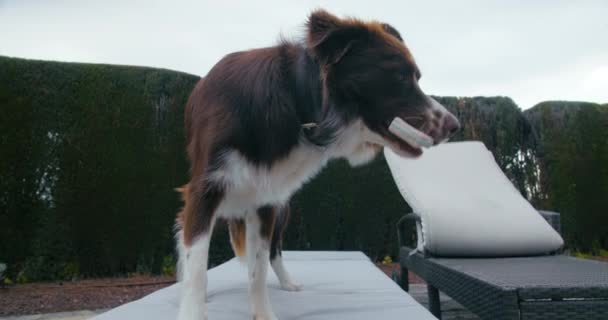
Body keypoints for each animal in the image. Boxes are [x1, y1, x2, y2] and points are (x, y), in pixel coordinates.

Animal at [173, 8, 458, 318]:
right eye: (400, 77)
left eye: (417, 77)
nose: (455, 126)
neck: (296, 101)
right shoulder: (204, 190)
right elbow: (197, 264)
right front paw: (193, 307)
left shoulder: (265, 200)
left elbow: (258, 269)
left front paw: (263, 313)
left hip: (281, 208)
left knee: (274, 251)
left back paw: (287, 282)